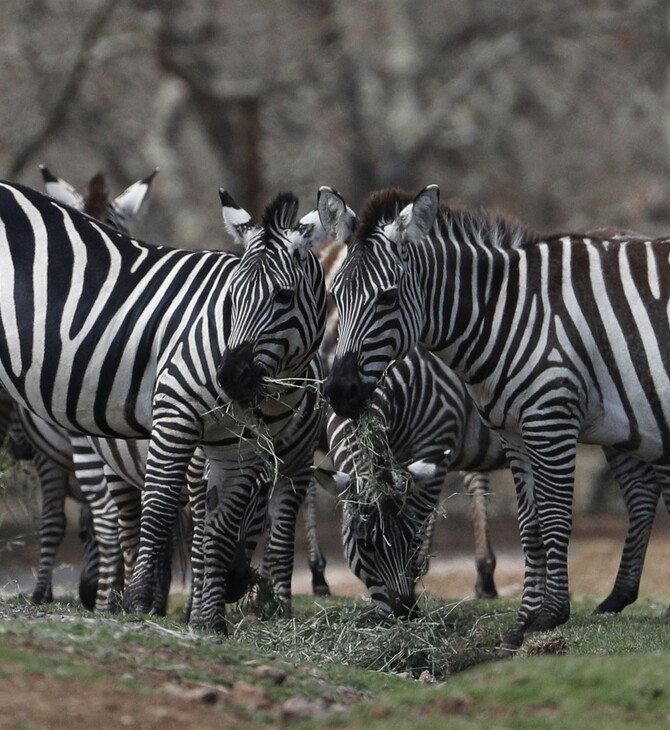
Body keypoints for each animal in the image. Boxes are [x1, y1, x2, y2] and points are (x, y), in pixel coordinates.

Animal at [0, 179, 328, 628]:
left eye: (283, 295)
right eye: (230, 297)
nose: (229, 377)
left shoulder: (245, 447)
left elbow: (219, 528)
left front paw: (210, 621)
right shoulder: (175, 414)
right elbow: (160, 509)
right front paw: (141, 602)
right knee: (116, 519)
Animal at [318, 185, 670, 644]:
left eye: (388, 297)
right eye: (334, 295)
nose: (339, 391)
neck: (504, 314)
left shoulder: (544, 420)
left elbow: (554, 517)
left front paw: (551, 615)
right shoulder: (515, 432)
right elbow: (530, 526)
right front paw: (524, 622)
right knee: (643, 494)